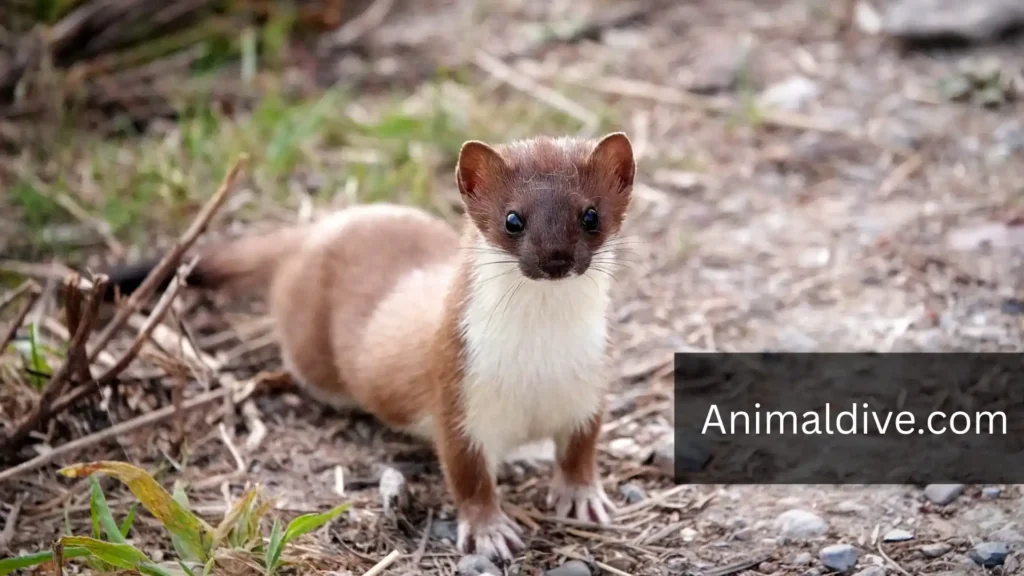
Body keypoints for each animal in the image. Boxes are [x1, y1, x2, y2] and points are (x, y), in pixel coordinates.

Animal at [103, 132, 636, 561]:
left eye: (591, 214)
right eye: (512, 219)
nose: (556, 259)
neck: (538, 362)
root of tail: (317, 230)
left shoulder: (591, 385)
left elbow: (582, 447)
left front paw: (583, 496)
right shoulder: (457, 394)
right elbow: (467, 476)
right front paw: (490, 532)